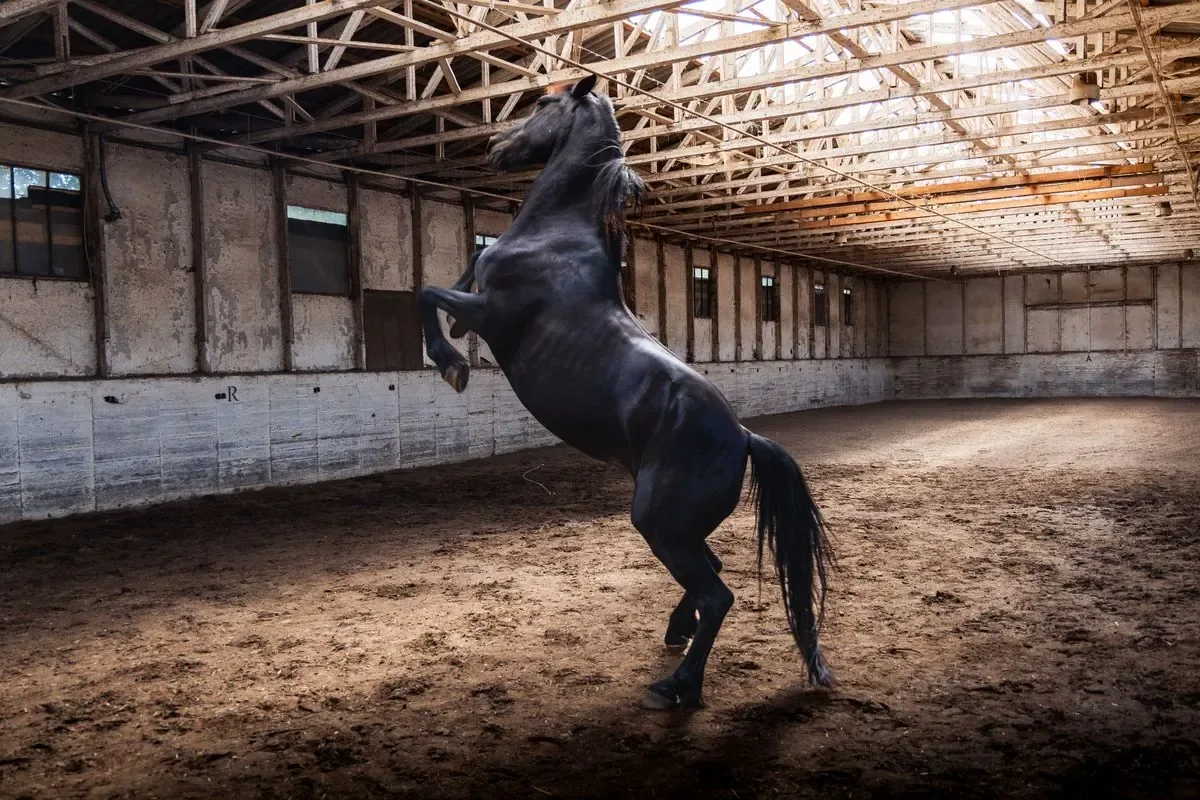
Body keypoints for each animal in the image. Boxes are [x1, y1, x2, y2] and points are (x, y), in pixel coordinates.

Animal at [417, 74, 834, 709]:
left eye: (543, 105)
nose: (495, 147)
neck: (555, 237)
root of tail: (743, 435)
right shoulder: (479, 289)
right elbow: (465, 264)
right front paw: (455, 346)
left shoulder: (492, 312)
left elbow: (427, 294)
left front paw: (452, 365)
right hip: (679, 528)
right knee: (713, 571)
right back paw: (675, 633)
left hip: (660, 522)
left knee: (718, 594)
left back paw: (676, 686)